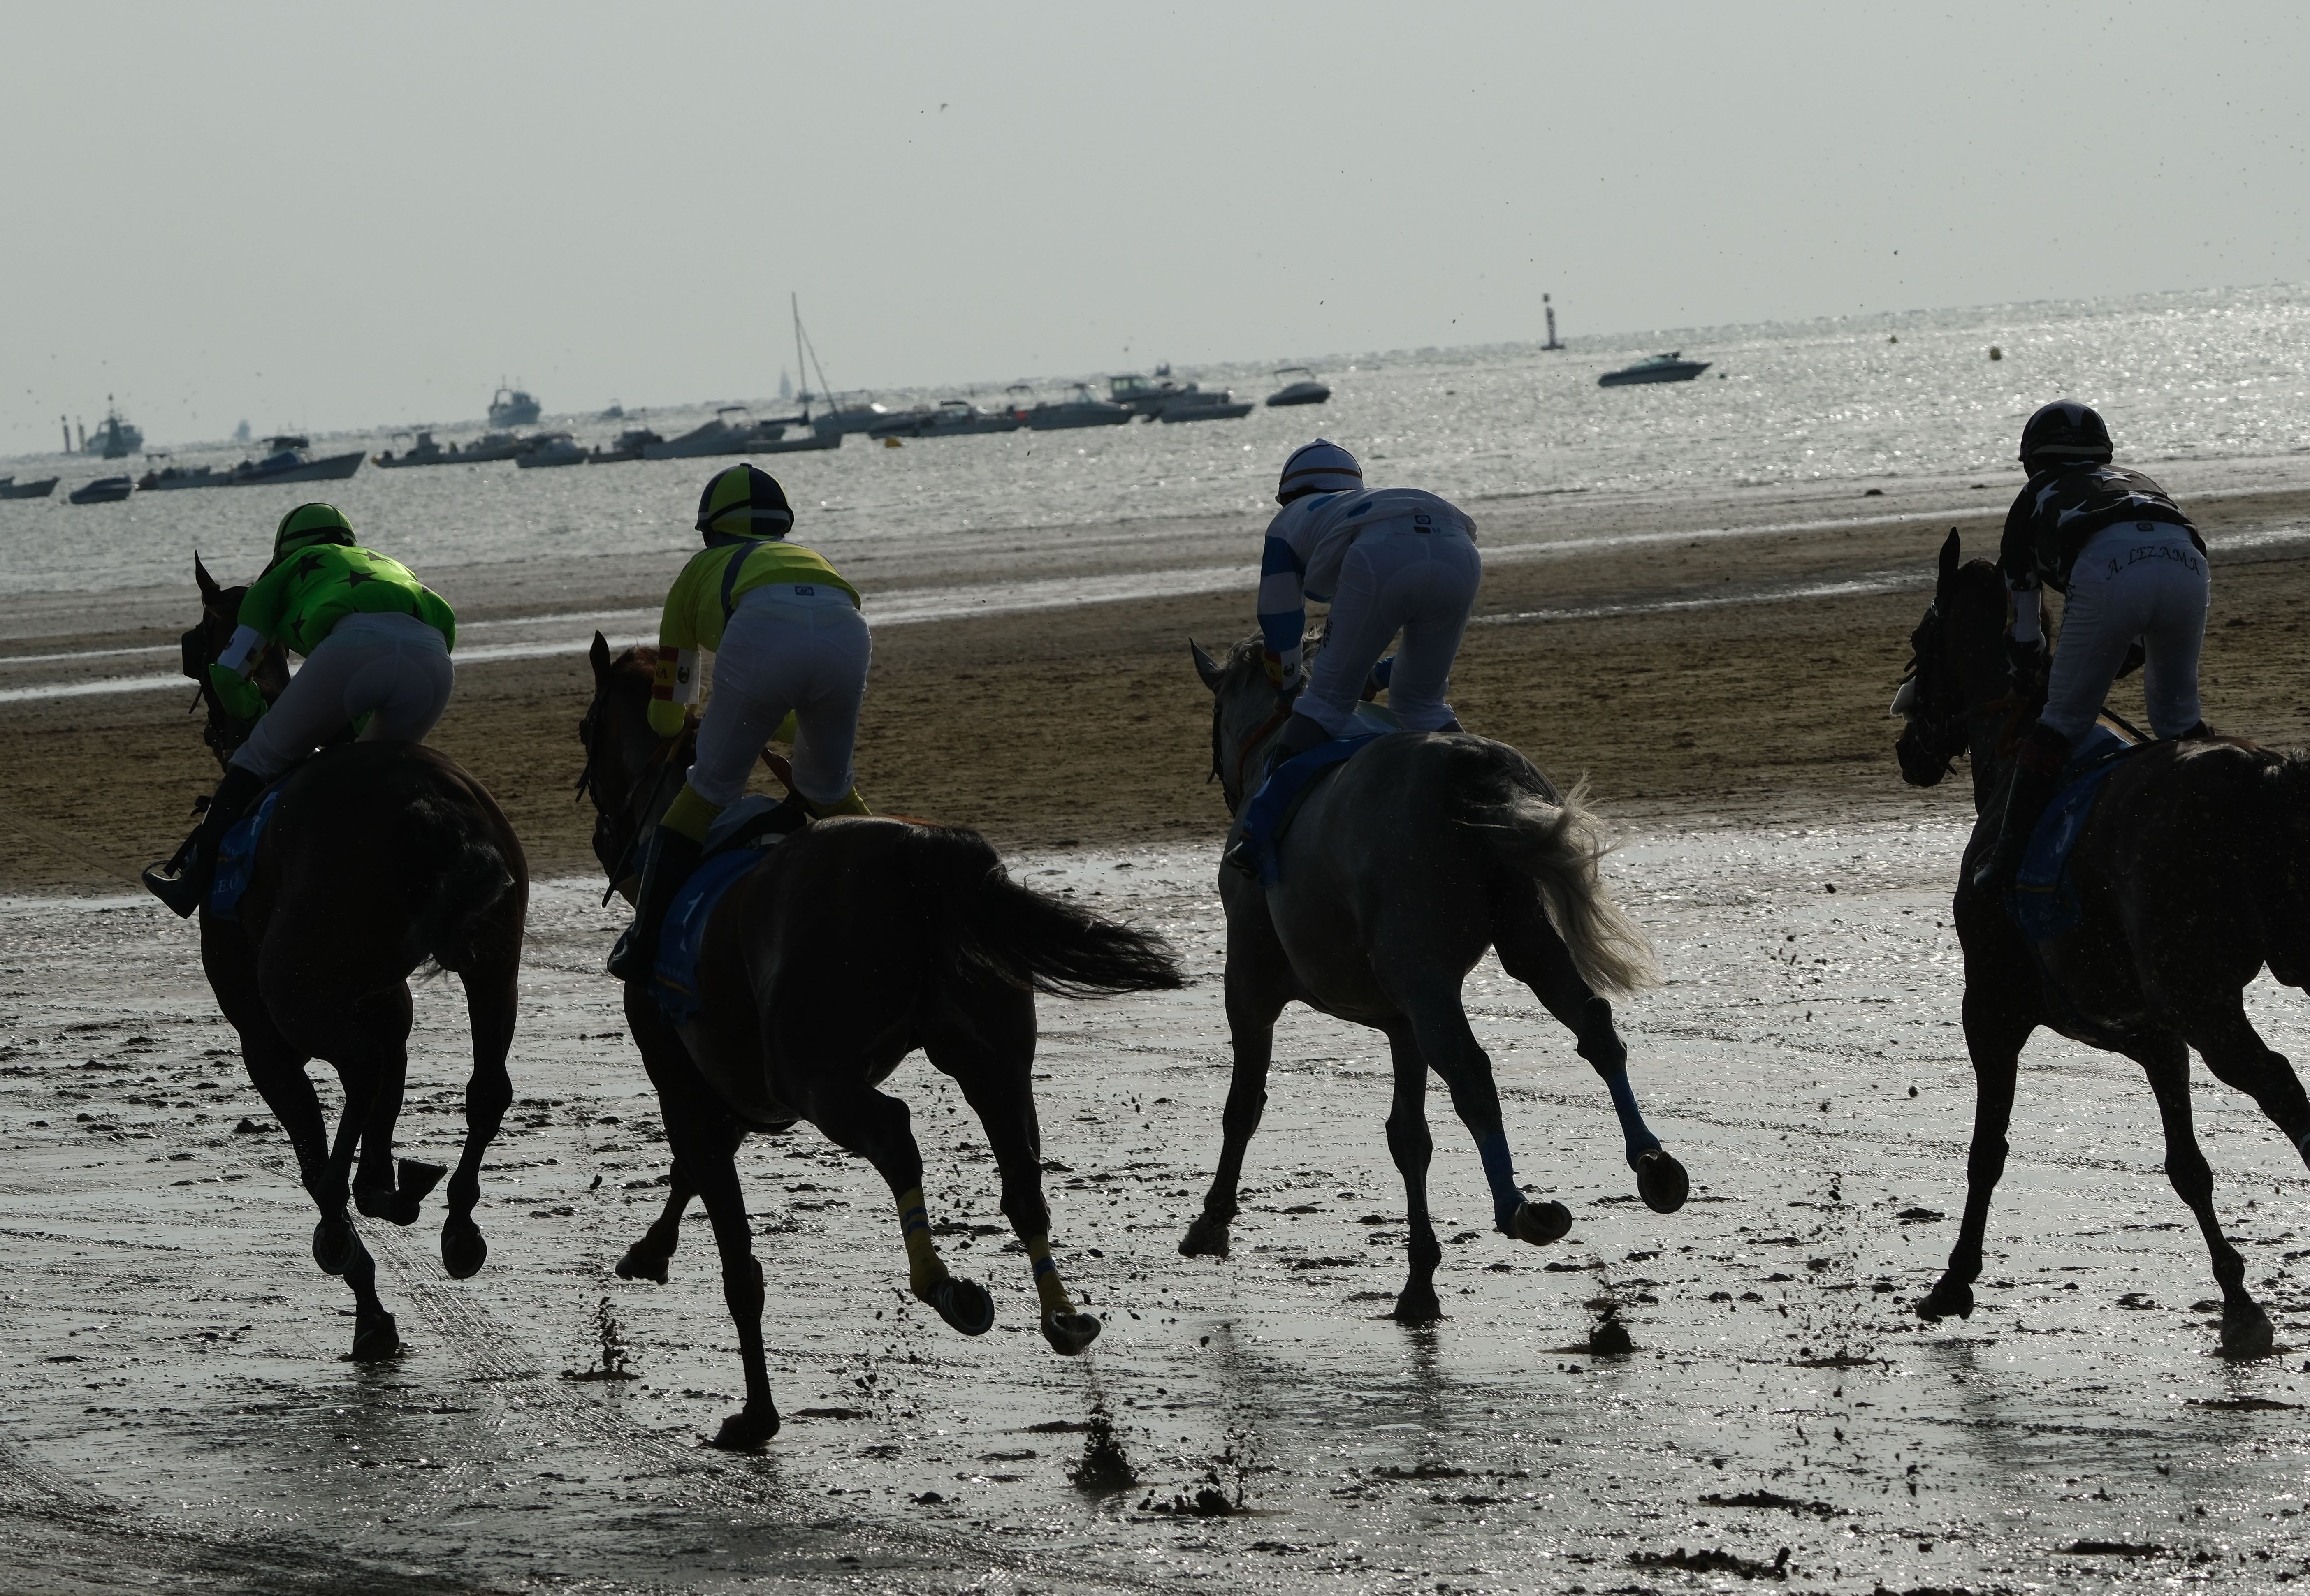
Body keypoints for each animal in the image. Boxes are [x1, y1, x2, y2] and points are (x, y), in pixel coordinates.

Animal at [178, 559, 526, 1358]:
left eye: (193, 648)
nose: (213, 725)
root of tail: (430, 806)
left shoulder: (266, 1039)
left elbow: (318, 1139)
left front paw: (366, 1299)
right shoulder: (384, 1004)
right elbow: (385, 1093)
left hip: (295, 999)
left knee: (353, 1108)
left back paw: (346, 1220)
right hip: (497, 961)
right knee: (486, 1087)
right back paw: (454, 1222)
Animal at [578, 632, 1192, 1450]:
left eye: (586, 730)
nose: (602, 836)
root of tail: (919, 855)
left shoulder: (683, 1080)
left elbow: (736, 1255)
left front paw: (756, 1413)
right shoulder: (734, 1094)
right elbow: (691, 1174)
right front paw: (650, 1250)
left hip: (822, 1080)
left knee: (896, 1134)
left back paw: (946, 1287)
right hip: (992, 1061)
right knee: (1023, 1181)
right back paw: (1061, 1315)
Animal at [1183, 637, 1691, 1321]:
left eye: (1217, 713)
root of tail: (1471, 770)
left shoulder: (1250, 986)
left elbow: (1244, 1106)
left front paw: (1213, 1219)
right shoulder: (1402, 1024)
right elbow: (1409, 1138)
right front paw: (1419, 1276)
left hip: (1426, 977)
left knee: (1473, 1072)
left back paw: (1518, 1206)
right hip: (1527, 941)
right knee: (1595, 1029)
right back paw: (1651, 1160)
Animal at [1894, 531, 2310, 1358]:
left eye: (1921, 641)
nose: (1906, 747)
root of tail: (2263, 773)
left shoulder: (1991, 1010)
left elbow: (1986, 1151)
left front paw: (1954, 1281)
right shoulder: (2155, 1037)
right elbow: (2187, 1166)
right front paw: (2239, 1301)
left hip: (2207, 999)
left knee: (2282, 1085)